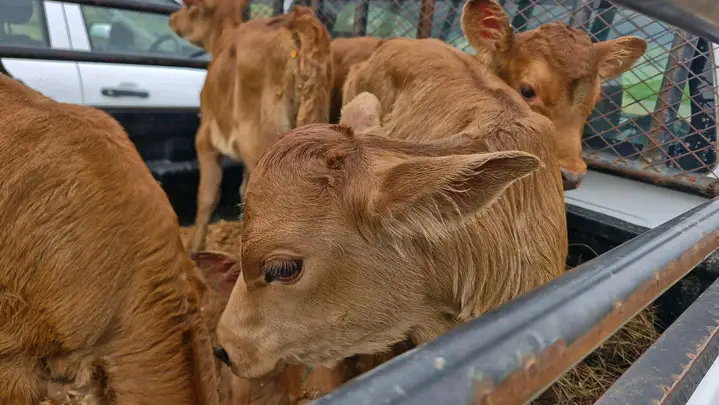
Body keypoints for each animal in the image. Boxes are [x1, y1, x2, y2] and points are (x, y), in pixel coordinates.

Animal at [170, 2, 333, 253]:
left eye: (189, 6)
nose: (172, 17)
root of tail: (299, 19)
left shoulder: (205, 138)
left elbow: (207, 196)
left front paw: (193, 249)